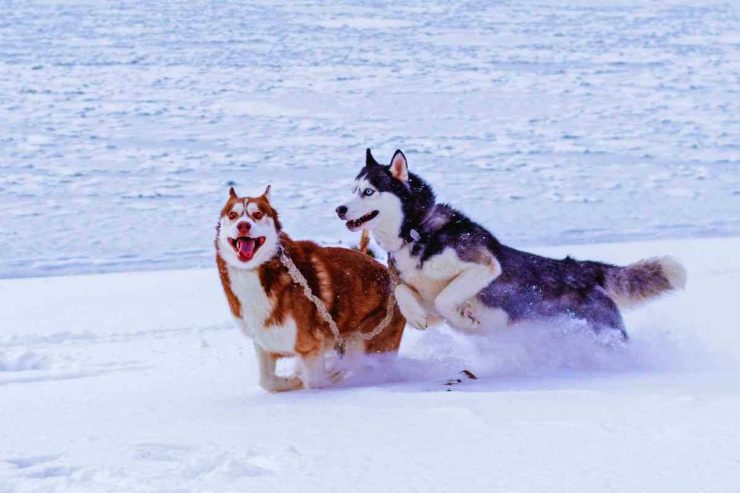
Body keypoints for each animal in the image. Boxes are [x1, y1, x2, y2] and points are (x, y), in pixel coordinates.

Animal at [215, 186, 404, 390]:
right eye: (233, 215)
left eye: (257, 214)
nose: (243, 225)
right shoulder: (263, 342)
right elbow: (266, 382)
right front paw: (292, 380)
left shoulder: (310, 345)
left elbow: (313, 380)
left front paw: (312, 378)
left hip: (366, 339)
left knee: (359, 362)